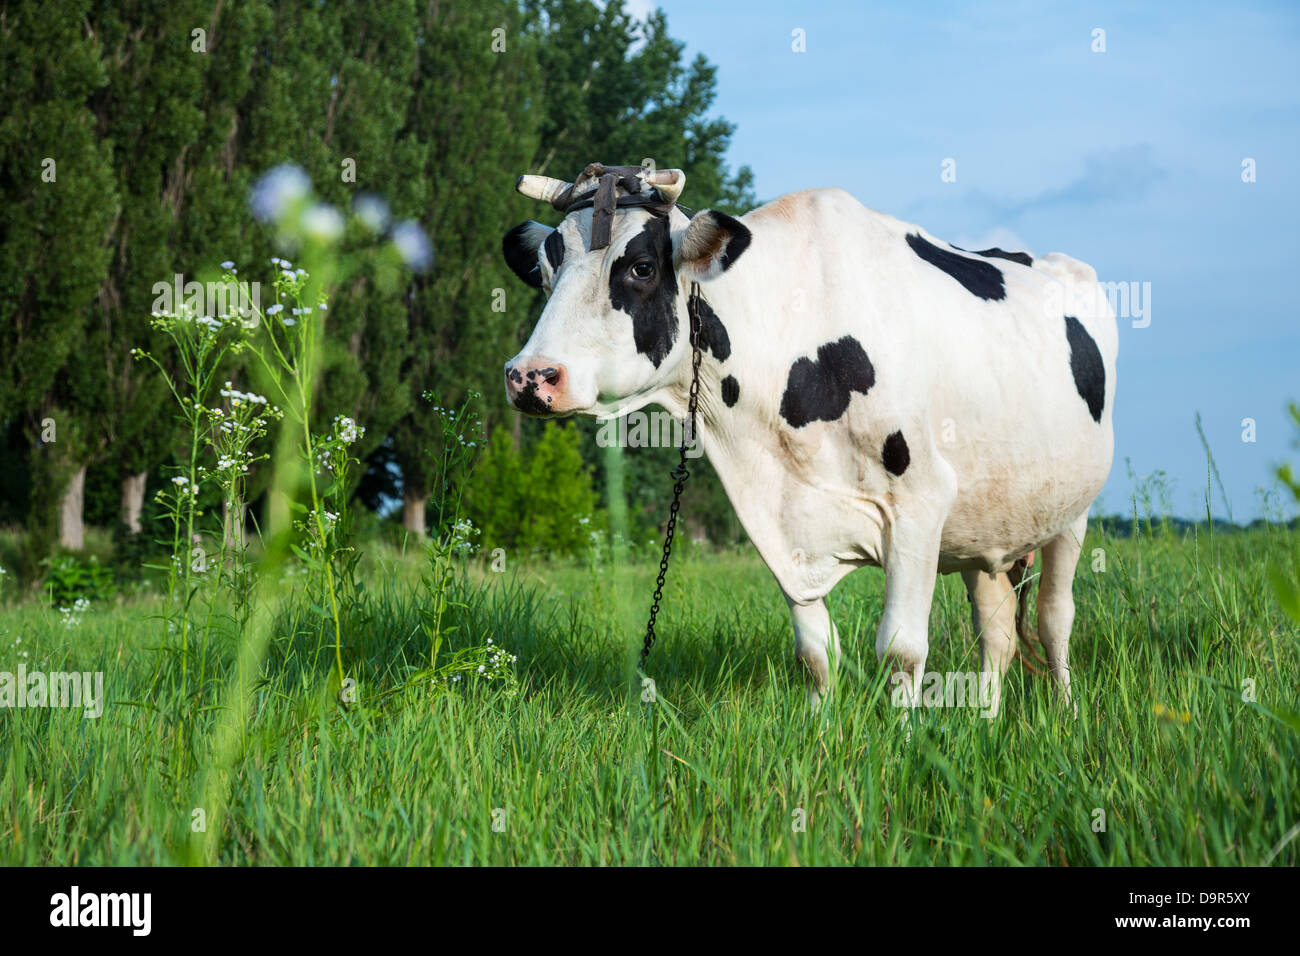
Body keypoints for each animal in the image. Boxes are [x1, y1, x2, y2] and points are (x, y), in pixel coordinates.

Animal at [501, 162, 1117, 717]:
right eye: (547, 267)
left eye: (642, 267)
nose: (530, 375)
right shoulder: (779, 517)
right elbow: (815, 652)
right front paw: (819, 732)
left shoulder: (920, 503)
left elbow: (901, 650)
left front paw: (904, 742)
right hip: (984, 526)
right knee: (997, 631)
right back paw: (985, 720)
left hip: (1071, 513)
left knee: (1054, 620)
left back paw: (1065, 714)